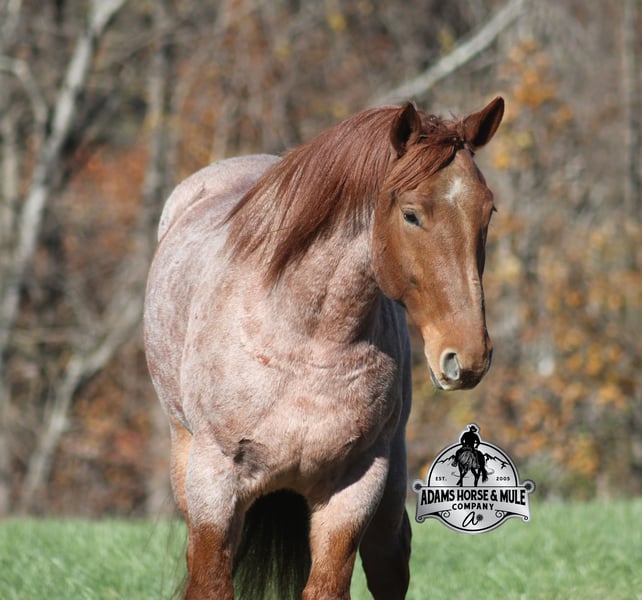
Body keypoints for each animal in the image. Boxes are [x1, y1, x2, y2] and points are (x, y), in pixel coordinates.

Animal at [144, 96, 504, 599]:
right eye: (411, 214)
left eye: (487, 213)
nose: (468, 358)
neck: (306, 341)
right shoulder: (214, 487)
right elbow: (210, 582)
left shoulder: (357, 487)